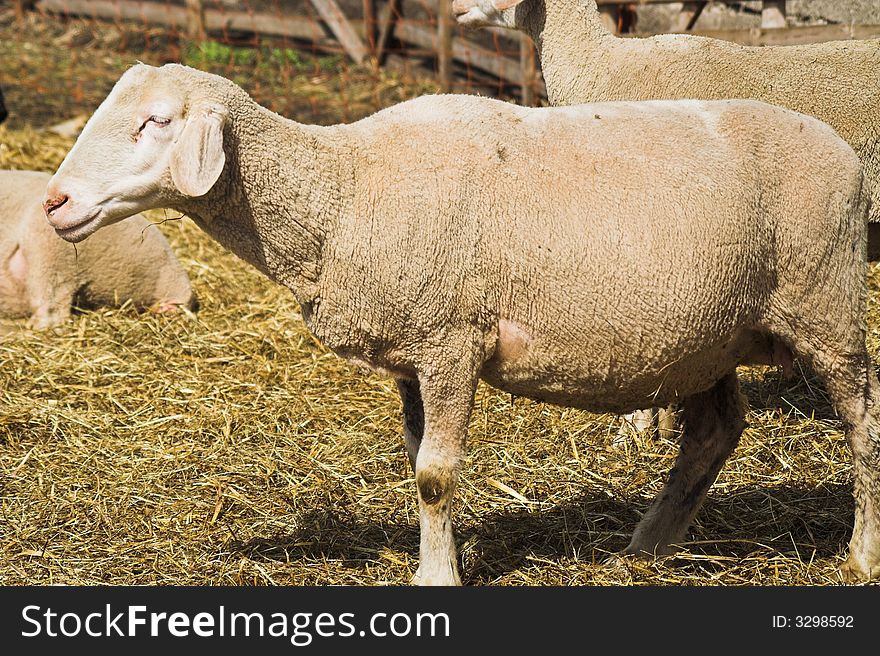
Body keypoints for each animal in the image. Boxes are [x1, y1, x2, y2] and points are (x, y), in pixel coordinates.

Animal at [43, 62, 880, 584]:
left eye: (156, 121)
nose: (54, 202)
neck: (343, 194)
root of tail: (840, 150)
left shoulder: (451, 339)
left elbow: (436, 475)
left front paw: (436, 577)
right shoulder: (413, 351)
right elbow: (417, 459)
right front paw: (435, 554)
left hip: (825, 302)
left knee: (862, 426)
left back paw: (860, 556)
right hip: (708, 334)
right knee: (716, 429)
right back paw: (643, 549)